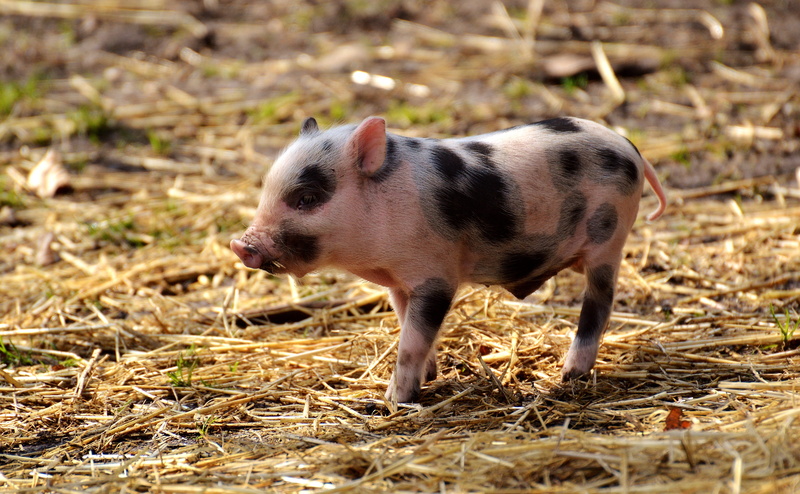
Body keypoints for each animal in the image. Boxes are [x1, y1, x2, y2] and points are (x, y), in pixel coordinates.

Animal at [231, 116, 667, 403]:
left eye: (307, 198)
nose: (240, 244)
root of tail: (629, 147)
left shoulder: (435, 277)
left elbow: (412, 339)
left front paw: (394, 400)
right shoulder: (399, 282)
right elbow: (407, 325)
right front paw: (430, 375)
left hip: (609, 238)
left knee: (600, 303)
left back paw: (569, 376)